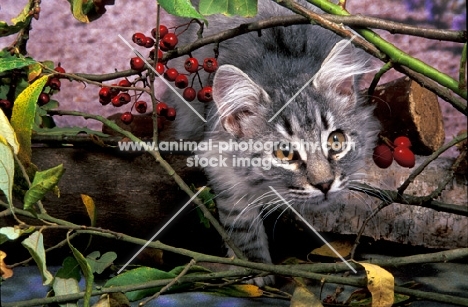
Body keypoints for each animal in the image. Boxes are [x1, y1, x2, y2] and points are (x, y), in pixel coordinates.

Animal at [168, 0, 380, 286]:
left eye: (336, 141)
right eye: (285, 154)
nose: (325, 184)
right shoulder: (219, 162)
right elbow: (241, 223)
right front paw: (255, 269)